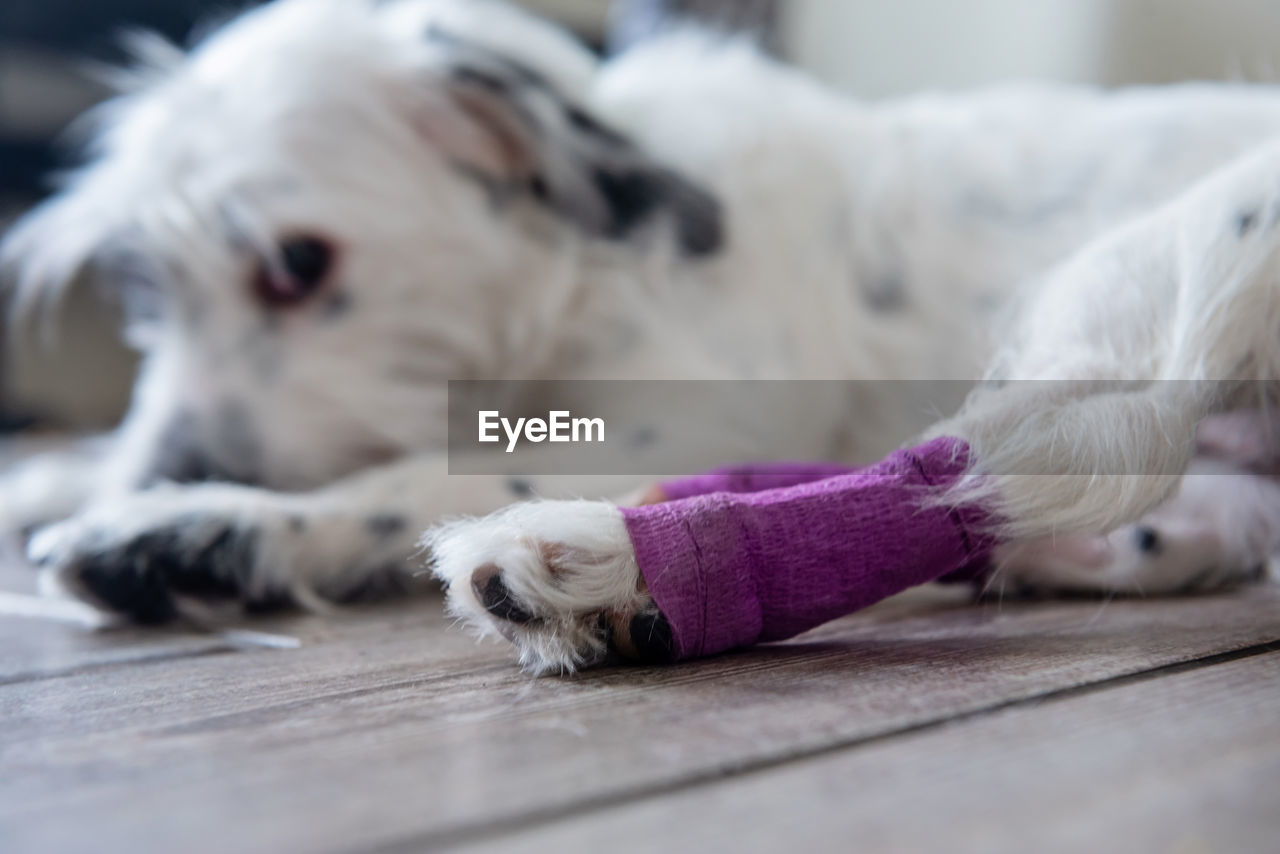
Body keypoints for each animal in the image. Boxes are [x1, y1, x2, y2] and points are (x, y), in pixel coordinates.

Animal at [0, 0, 1274, 665]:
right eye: (146, 284)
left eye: (296, 262)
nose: (171, 466)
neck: (589, 265)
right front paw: (71, 476)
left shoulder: (669, 419)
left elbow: (416, 476)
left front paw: (202, 521)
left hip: (1187, 262)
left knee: (1001, 467)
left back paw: (593, 563)